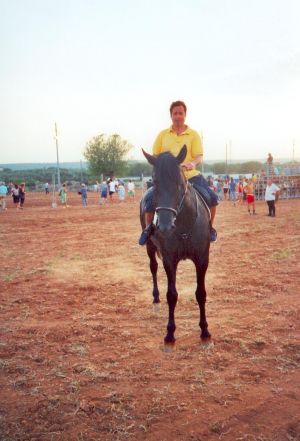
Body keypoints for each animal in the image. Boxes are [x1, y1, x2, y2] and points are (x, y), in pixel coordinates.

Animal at [141, 146, 211, 342]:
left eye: (180, 184)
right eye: (155, 182)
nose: (164, 225)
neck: (184, 225)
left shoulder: (202, 258)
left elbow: (201, 293)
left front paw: (205, 331)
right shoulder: (169, 259)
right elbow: (171, 295)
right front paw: (170, 333)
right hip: (150, 247)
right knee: (153, 268)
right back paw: (156, 299)